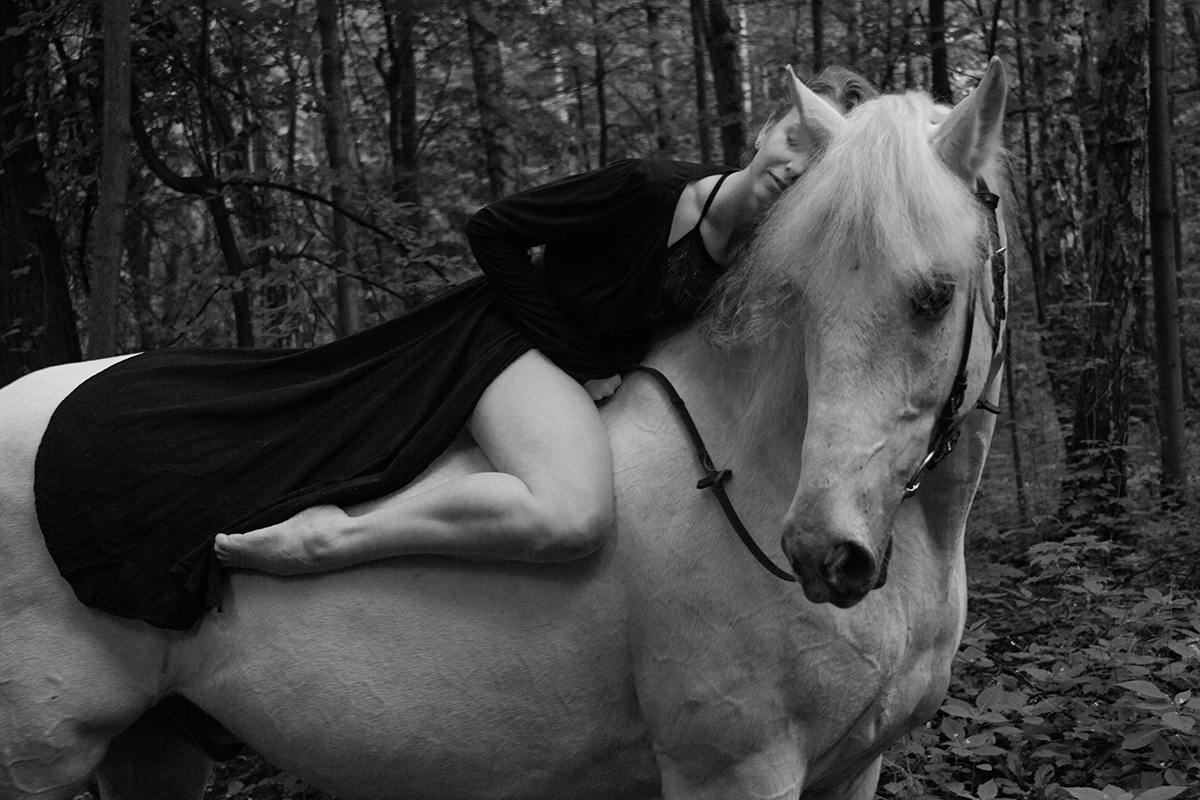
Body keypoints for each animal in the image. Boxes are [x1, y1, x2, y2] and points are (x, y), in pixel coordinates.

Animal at [0, 59, 1009, 800]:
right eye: (798, 295)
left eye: (933, 296)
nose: (821, 552)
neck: (749, 471)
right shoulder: (731, 769)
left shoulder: (852, 769)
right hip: (37, 761)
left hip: (151, 749)